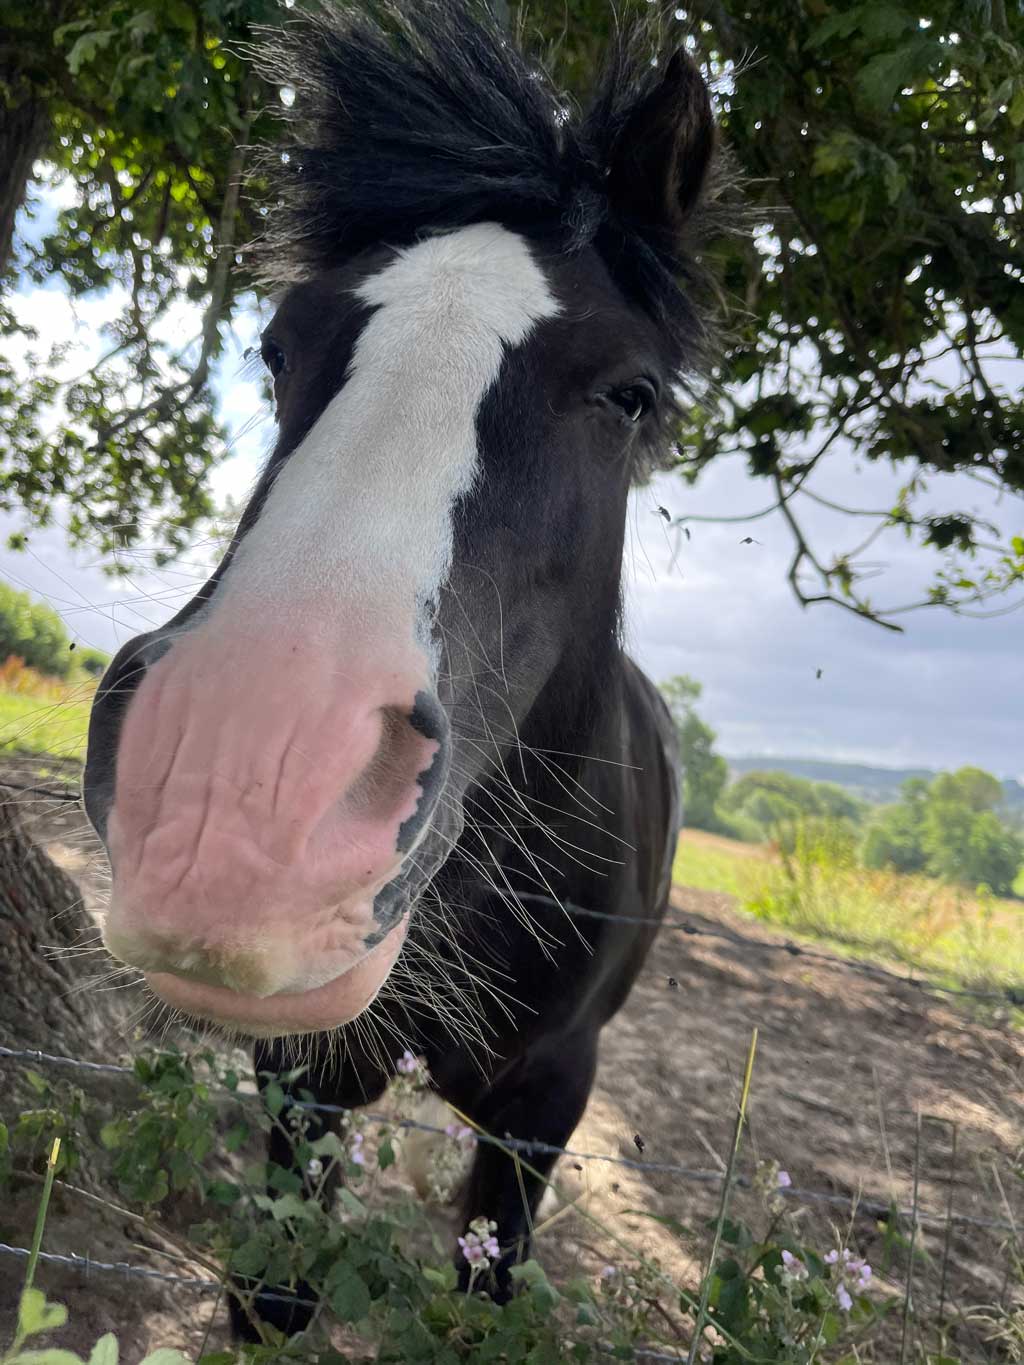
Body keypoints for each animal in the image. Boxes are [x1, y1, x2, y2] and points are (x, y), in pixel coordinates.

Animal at [82, 0, 721, 1339]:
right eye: (276, 347)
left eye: (630, 393)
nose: (233, 798)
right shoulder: (305, 1083)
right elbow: (274, 1297)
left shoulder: (544, 1112)